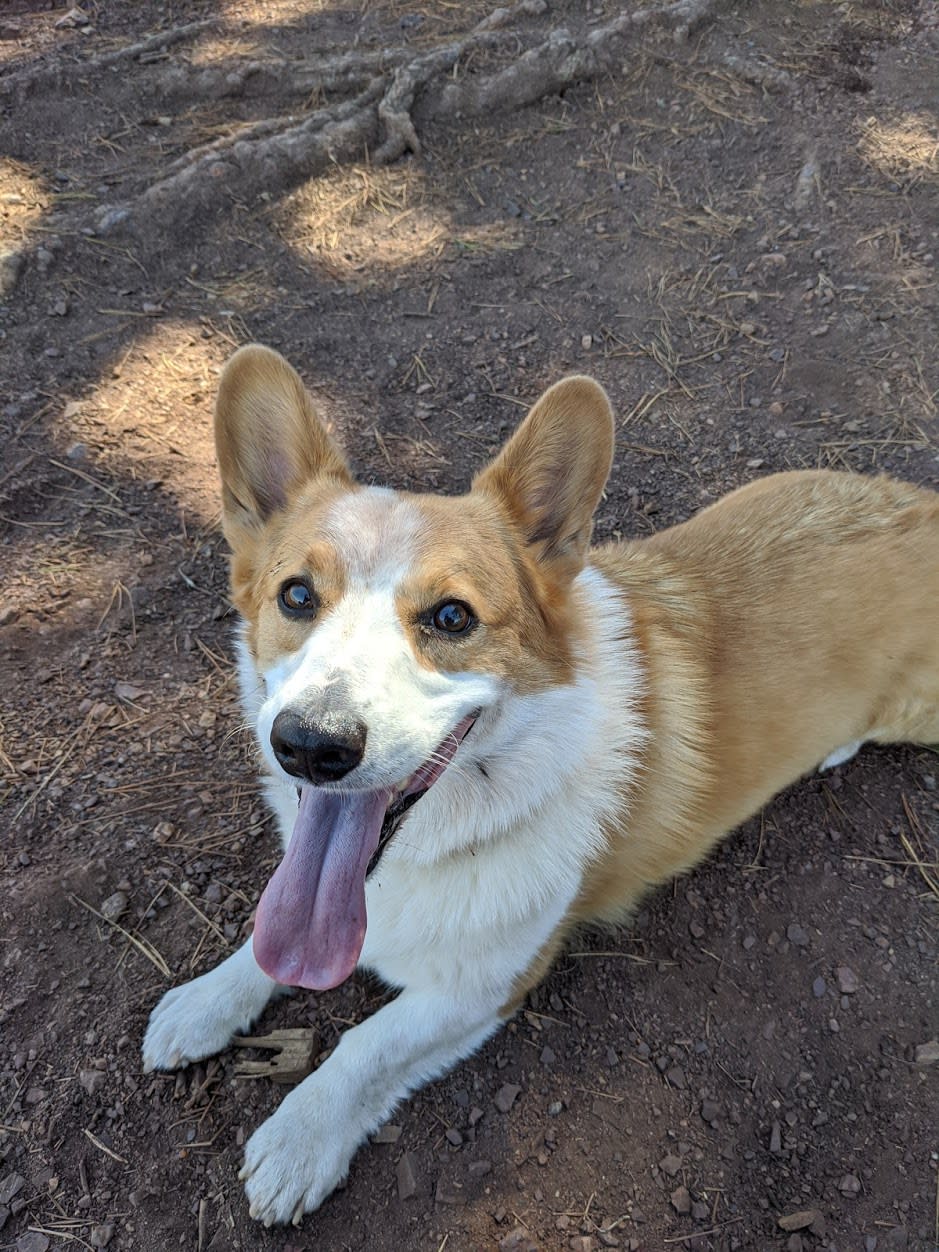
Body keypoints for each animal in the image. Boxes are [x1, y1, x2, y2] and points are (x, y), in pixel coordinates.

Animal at [141, 343, 939, 1221]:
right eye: (295, 596)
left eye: (451, 618)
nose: (310, 747)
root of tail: (922, 505)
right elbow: (265, 933)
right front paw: (205, 1001)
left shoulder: (483, 986)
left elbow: (363, 1047)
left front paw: (299, 1138)